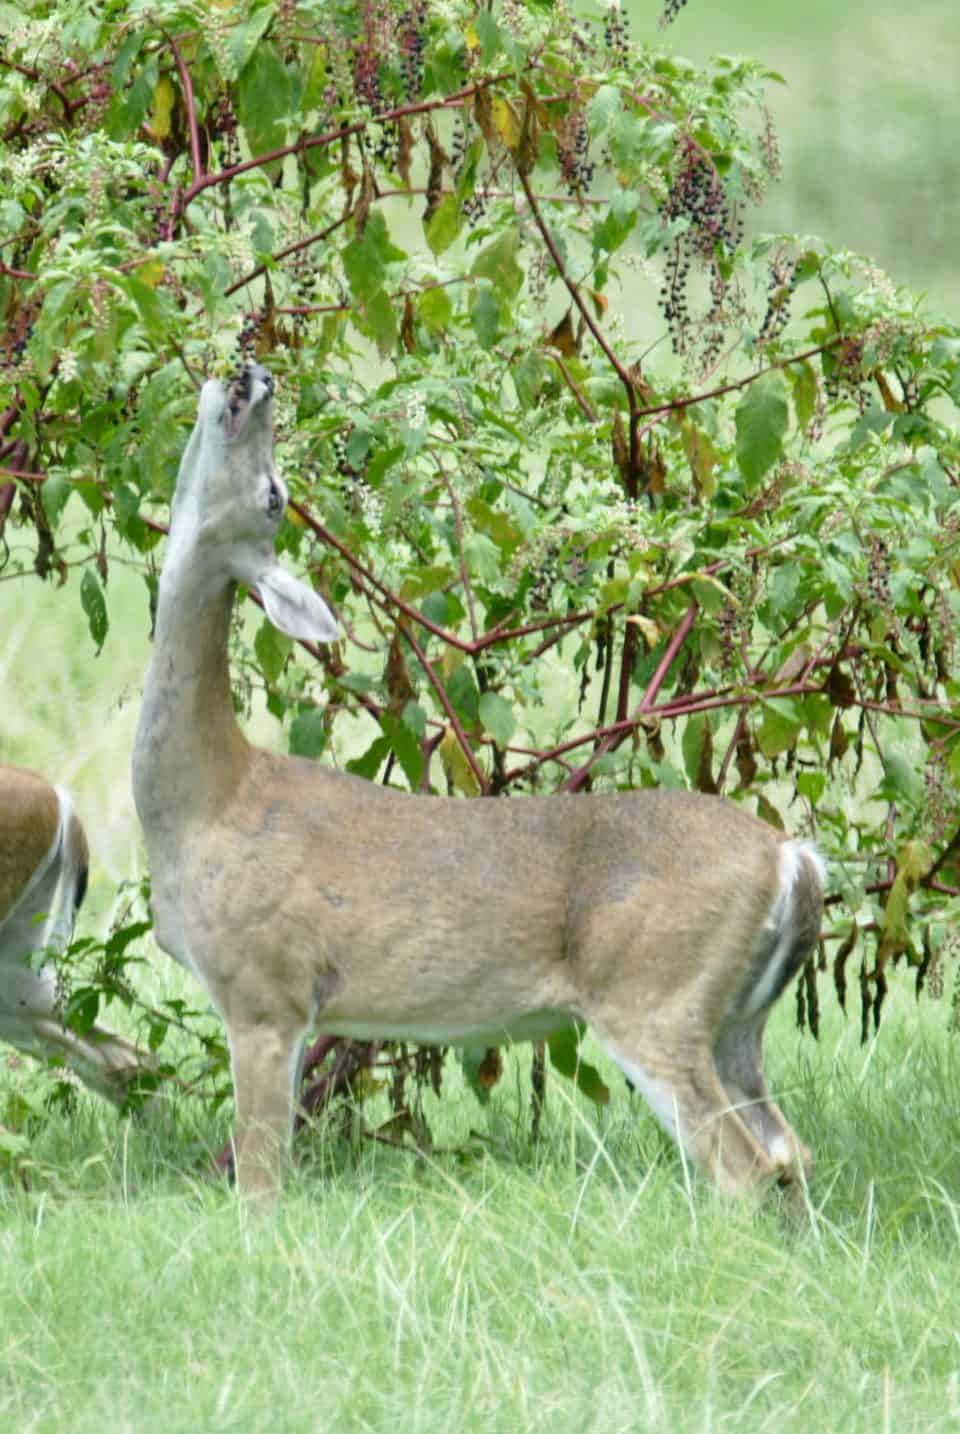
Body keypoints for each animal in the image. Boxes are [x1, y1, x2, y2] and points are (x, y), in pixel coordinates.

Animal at [132, 367, 826, 1198]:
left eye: (277, 493)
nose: (254, 375)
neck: (210, 796)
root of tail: (791, 857)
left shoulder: (265, 987)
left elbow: (262, 1185)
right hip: (735, 1020)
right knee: (789, 1151)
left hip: (655, 994)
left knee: (742, 1167)